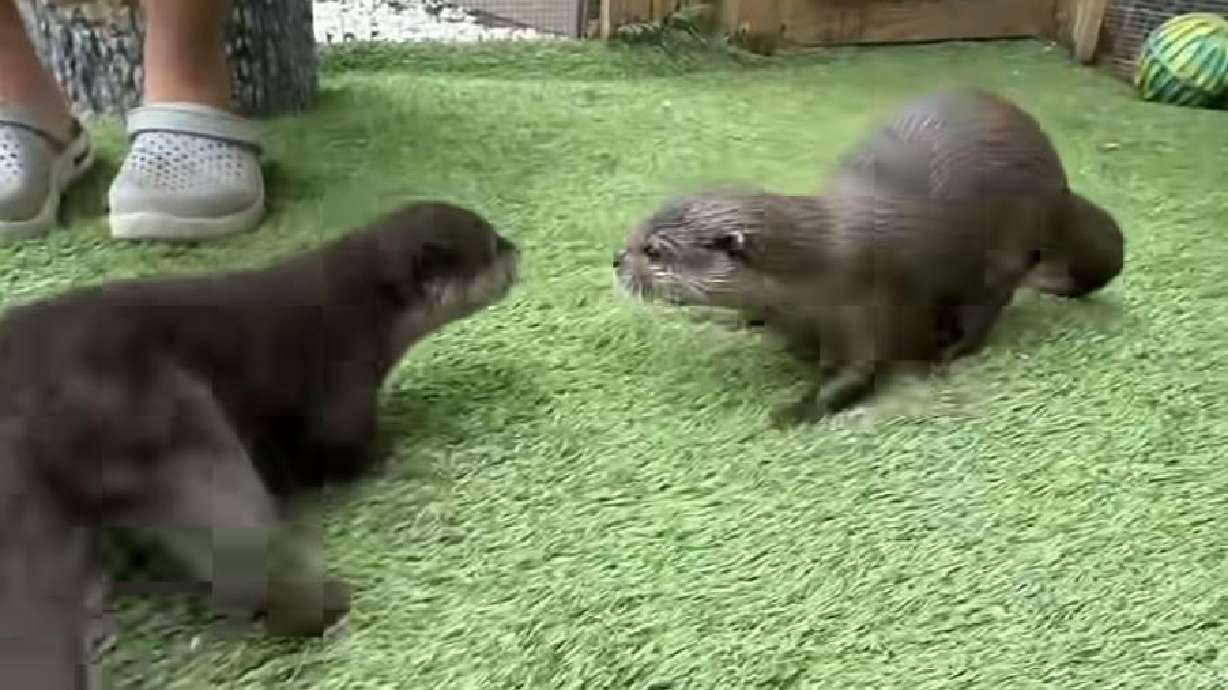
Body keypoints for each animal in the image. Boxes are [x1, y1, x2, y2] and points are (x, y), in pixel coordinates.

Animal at [0, 200, 519, 688]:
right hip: (172, 432)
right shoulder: (341, 396)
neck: (361, 314)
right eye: (492, 247)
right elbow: (345, 454)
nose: (517, 249)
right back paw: (327, 611)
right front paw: (404, 452)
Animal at [615, 185, 1057, 424]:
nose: (616, 260)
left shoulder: (864, 305)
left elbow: (858, 372)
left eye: (653, 250)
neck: (812, 274)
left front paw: (791, 412)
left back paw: (943, 356)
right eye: (634, 233)